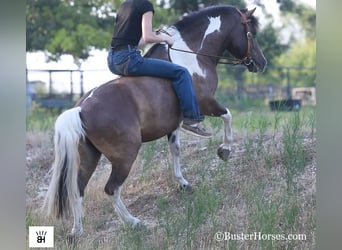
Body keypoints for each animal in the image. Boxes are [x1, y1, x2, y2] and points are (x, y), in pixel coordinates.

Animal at [43, 4, 268, 239]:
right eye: (251, 33)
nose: (262, 63)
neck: (194, 53)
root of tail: (81, 108)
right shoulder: (206, 102)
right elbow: (227, 115)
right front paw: (225, 150)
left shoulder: (173, 124)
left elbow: (175, 150)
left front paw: (183, 183)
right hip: (125, 155)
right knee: (111, 189)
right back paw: (133, 222)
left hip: (89, 156)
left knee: (78, 189)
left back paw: (77, 231)